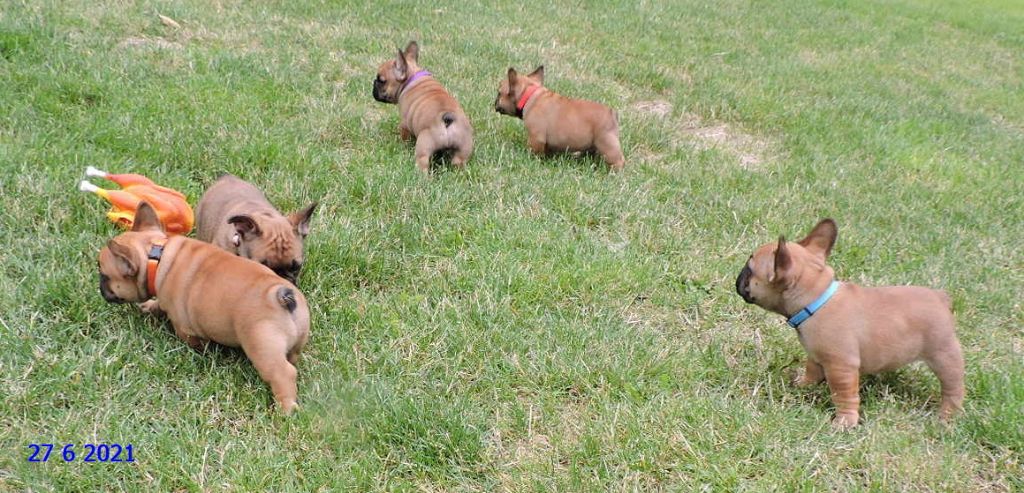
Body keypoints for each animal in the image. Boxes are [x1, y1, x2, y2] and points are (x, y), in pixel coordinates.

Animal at [98, 201, 309, 414]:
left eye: (104, 274)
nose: (101, 290)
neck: (156, 256)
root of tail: (281, 295)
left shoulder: (184, 327)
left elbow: (192, 340)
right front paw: (150, 306)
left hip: (263, 347)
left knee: (283, 373)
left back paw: (286, 410)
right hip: (297, 339)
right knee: (293, 359)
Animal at [372, 41, 475, 174]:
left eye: (381, 80)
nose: (374, 82)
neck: (412, 76)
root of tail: (448, 118)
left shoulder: (404, 124)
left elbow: (405, 137)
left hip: (424, 144)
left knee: (423, 162)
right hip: (463, 149)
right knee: (459, 163)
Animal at [493, 64, 626, 173]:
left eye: (499, 93)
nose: (494, 102)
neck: (529, 95)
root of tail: (612, 113)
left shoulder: (536, 137)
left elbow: (535, 150)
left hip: (607, 144)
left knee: (618, 160)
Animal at [733, 219, 962, 426]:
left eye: (750, 269)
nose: (738, 276)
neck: (816, 299)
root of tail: (941, 298)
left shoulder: (841, 366)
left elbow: (844, 395)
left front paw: (845, 420)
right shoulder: (816, 355)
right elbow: (811, 370)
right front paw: (802, 385)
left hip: (944, 355)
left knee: (953, 388)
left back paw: (946, 417)